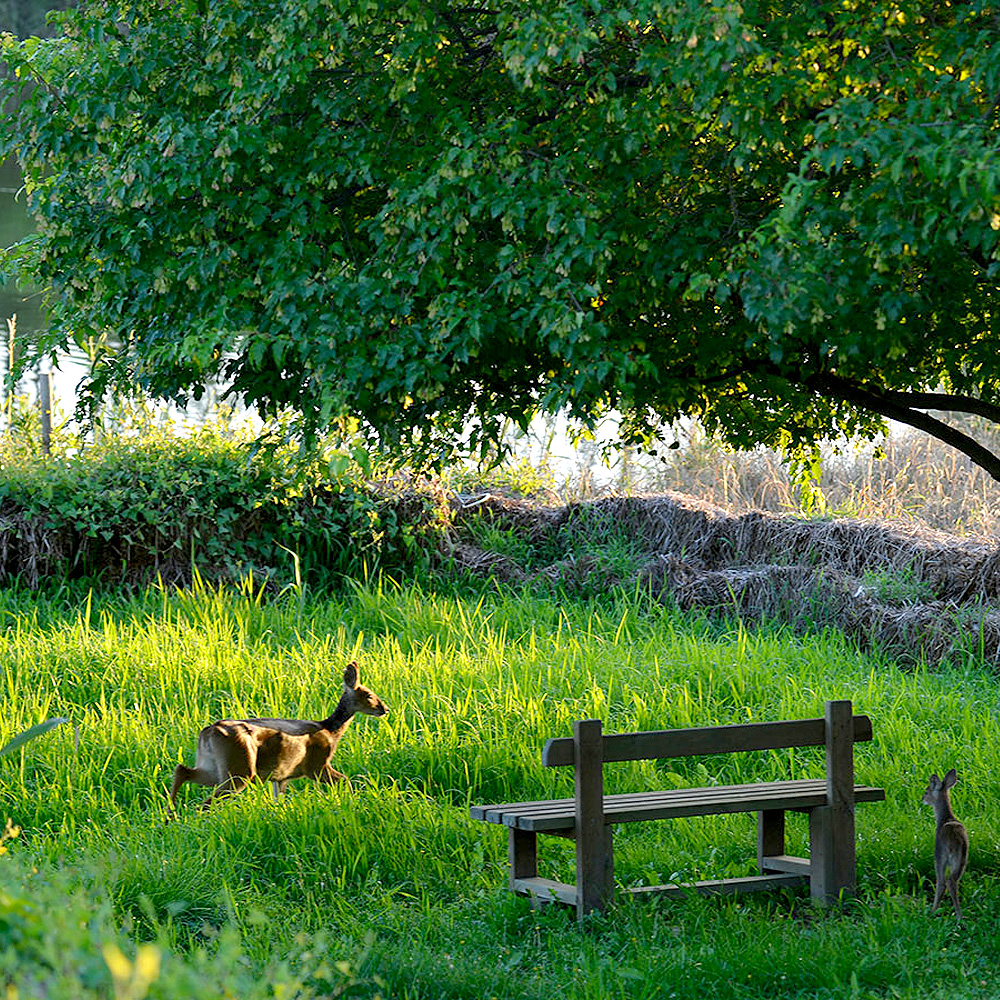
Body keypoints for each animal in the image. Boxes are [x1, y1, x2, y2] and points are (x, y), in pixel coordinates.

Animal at [170, 664, 388, 812]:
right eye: (369, 695)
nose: (385, 709)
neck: (330, 730)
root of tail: (208, 732)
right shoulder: (317, 765)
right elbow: (345, 780)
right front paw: (351, 802)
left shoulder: (282, 777)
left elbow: (279, 799)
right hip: (240, 767)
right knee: (205, 802)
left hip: (214, 766)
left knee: (182, 770)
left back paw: (169, 816)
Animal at [920, 768, 968, 916]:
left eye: (927, 791)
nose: (922, 799)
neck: (943, 819)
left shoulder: (938, 852)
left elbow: (940, 881)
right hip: (962, 858)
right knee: (954, 880)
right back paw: (959, 914)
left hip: (943, 855)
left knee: (944, 881)